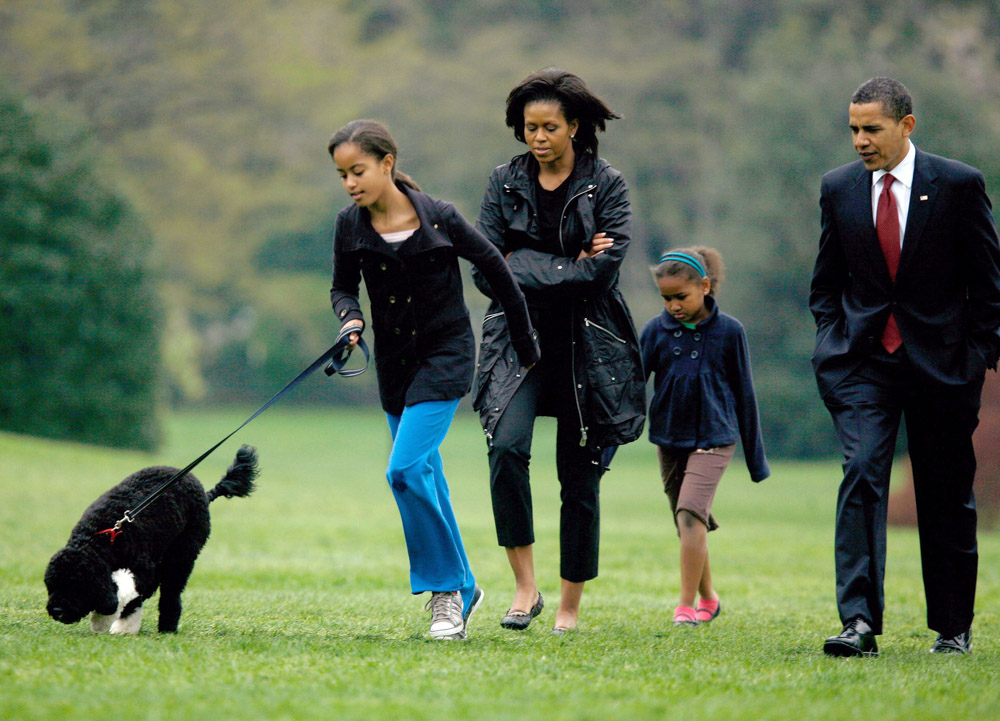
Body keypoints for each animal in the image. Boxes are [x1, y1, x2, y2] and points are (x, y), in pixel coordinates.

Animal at [46, 442, 258, 632]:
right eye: (52, 585)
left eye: (75, 585)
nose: (56, 610)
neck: (101, 537)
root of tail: (204, 494)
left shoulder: (142, 568)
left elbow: (127, 596)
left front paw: (115, 623)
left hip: (182, 554)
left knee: (170, 593)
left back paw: (167, 627)